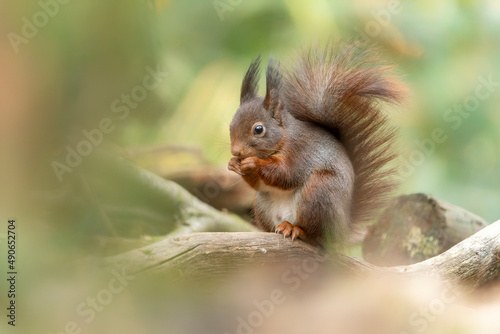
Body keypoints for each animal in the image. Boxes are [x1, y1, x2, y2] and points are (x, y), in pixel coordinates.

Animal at [227, 43, 406, 248]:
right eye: (230, 125)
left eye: (258, 129)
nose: (236, 151)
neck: (284, 137)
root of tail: (342, 231)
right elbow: (259, 183)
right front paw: (233, 164)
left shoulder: (300, 151)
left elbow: (286, 174)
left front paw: (253, 163)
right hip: (262, 204)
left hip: (319, 193)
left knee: (315, 236)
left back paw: (295, 229)